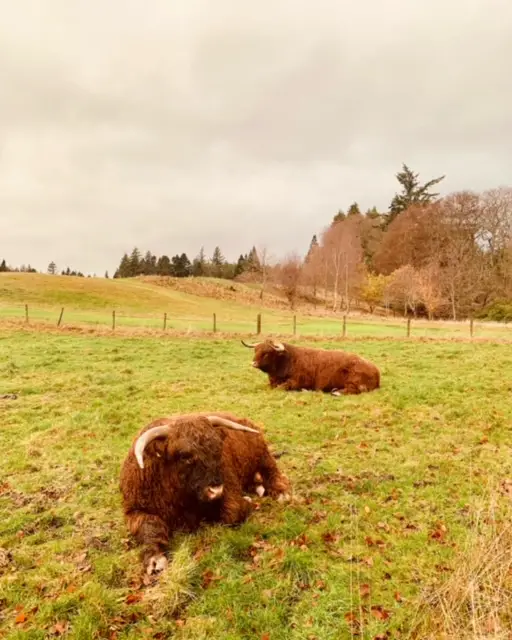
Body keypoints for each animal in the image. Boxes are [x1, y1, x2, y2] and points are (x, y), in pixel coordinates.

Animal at [117, 412, 290, 576]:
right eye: (184, 456)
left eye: (218, 449)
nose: (216, 490)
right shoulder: (134, 510)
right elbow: (150, 526)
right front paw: (154, 559)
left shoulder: (229, 489)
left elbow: (232, 513)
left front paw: (248, 501)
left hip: (262, 454)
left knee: (272, 471)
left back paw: (282, 493)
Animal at [241, 340, 380, 396]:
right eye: (255, 350)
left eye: (267, 353)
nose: (253, 363)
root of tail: (376, 370)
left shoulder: (296, 381)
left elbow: (280, 388)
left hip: (354, 381)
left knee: (353, 390)